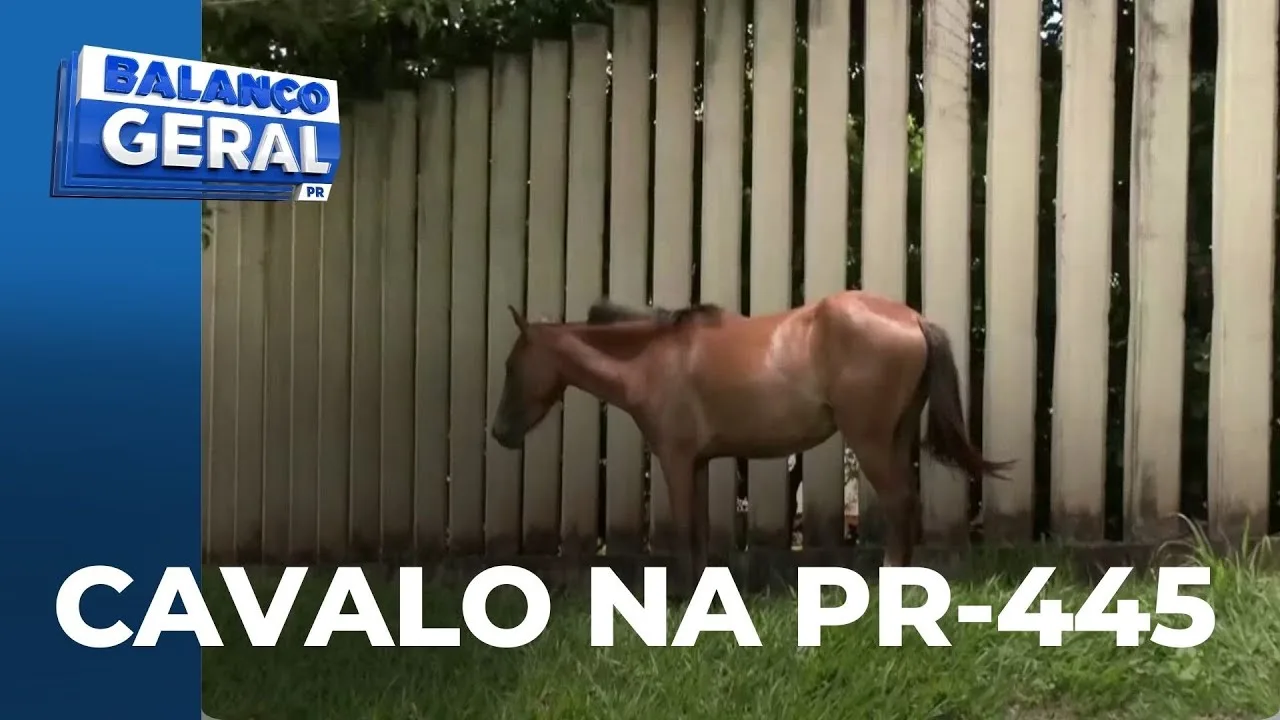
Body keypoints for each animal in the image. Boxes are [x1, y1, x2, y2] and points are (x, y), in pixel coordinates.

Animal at [489, 290, 1012, 596]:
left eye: (511, 367)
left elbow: (685, 530)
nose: (499, 433)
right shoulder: (697, 463)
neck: (654, 359)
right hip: (895, 437)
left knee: (901, 503)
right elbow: (699, 532)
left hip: (871, 442)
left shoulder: (675, 460)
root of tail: (913, 319)